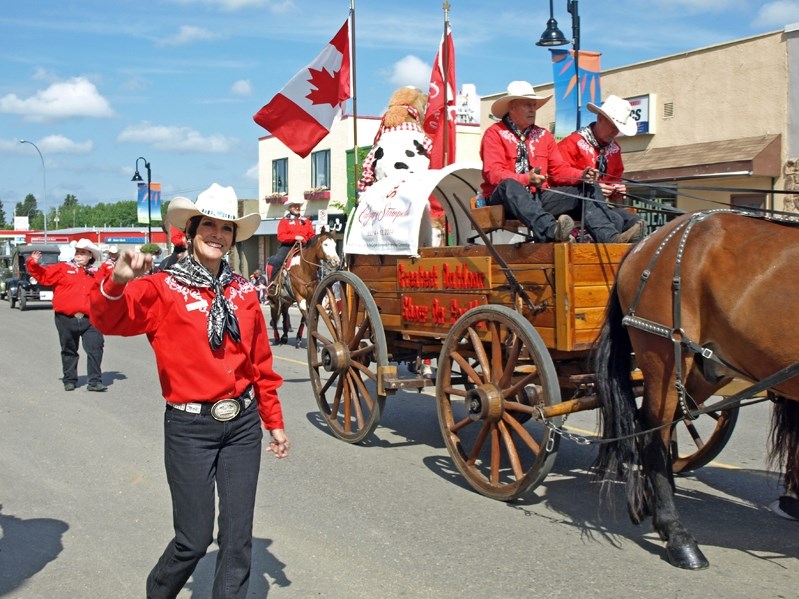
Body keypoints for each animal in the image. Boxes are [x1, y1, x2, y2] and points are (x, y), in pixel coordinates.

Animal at [592, 211, 799, 572]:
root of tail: (646, 243)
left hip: (705, 367)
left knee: (666, 423)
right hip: (662, 355)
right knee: (653, 433)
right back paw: (676, 535)